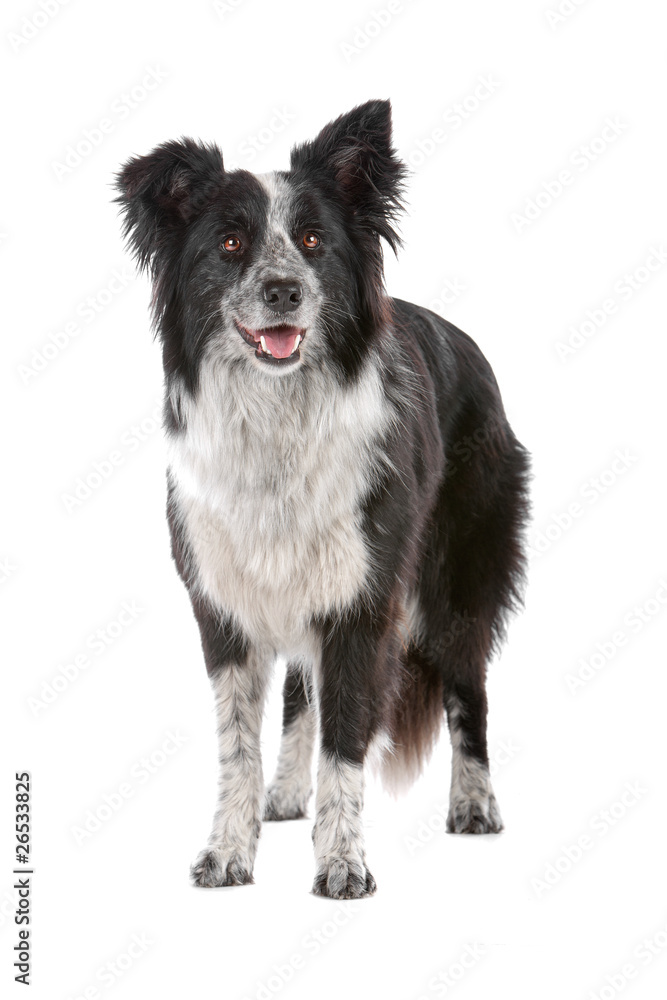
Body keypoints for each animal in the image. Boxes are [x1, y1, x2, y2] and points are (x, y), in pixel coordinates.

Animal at [116, 101, 532, 900]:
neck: (277, 415)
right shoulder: (225, 603)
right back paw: (285, 793)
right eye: (230, 243)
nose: (283, 289)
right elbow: (239, 744)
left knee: (468, 688)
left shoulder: (362, 602)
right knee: (298, 694)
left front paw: (342, 864)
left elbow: (347, 743)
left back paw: (474, 804)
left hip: (458, 580)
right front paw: (229, 850)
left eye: (312, 242)